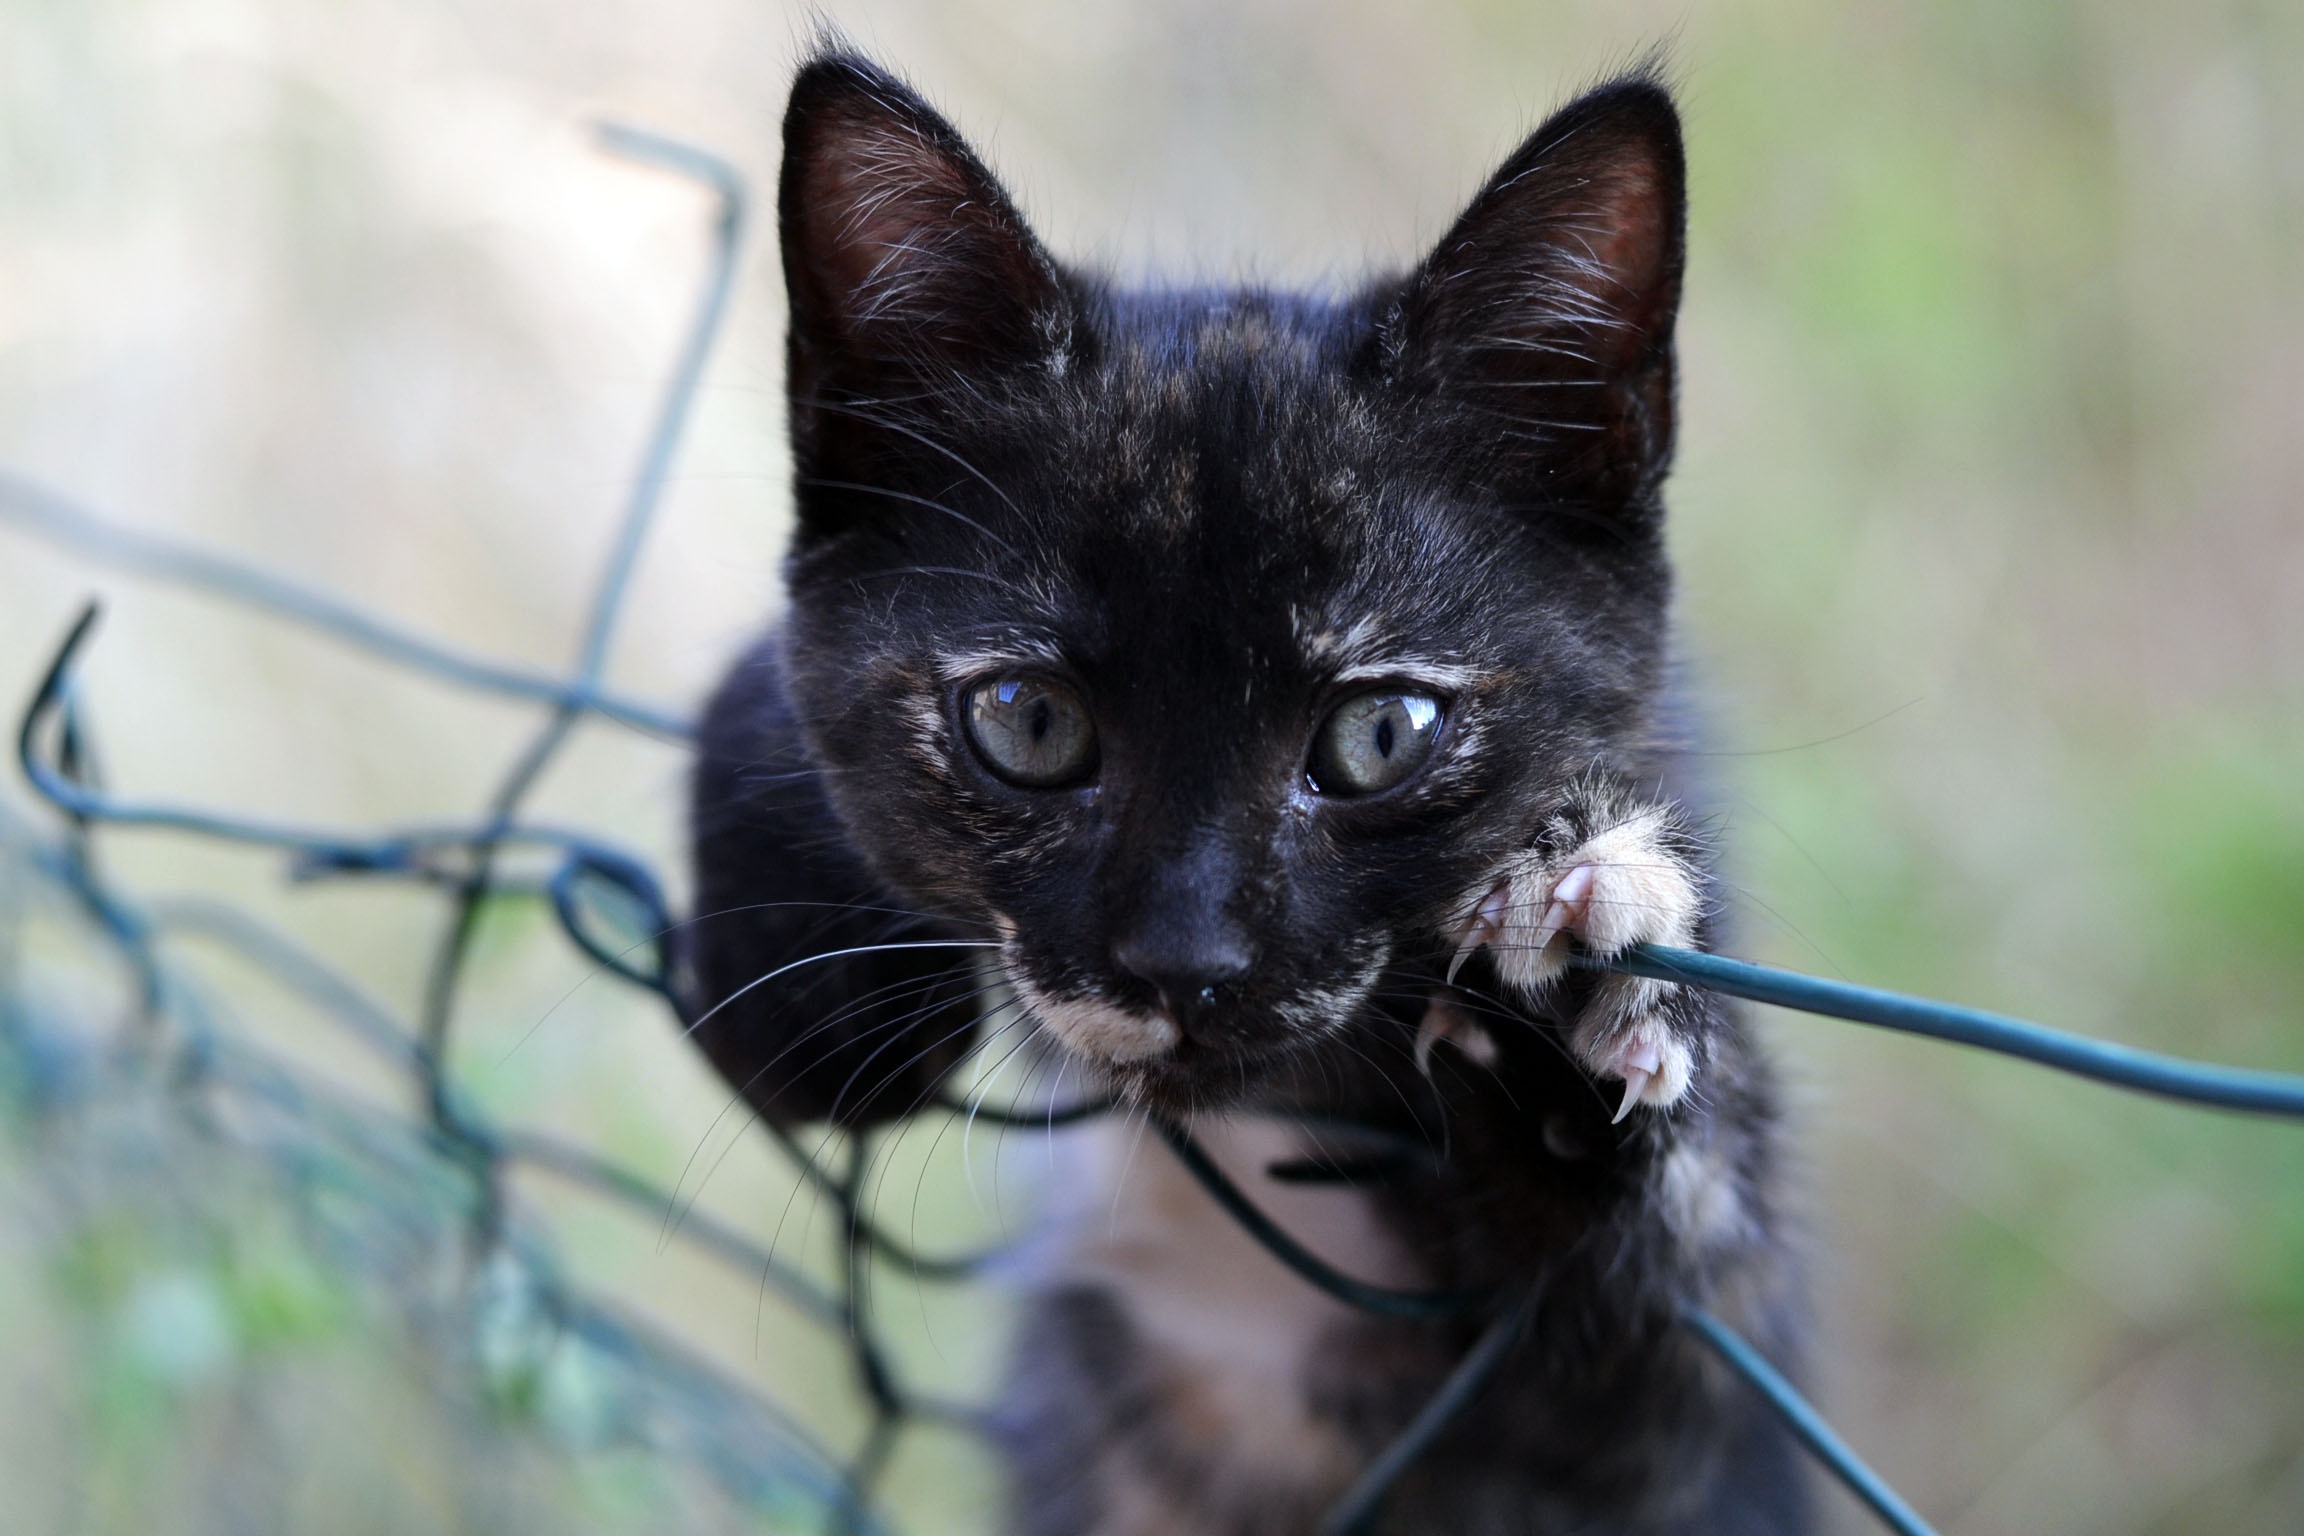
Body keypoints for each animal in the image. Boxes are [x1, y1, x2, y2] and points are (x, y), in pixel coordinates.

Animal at [691, 48, 1806, 1536]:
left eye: (1381, 734)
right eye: (1028, 723)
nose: (1185, 959)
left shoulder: (1675, 1455)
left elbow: (1698, 1264)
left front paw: (1572, 1003)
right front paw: (808, 976)